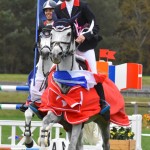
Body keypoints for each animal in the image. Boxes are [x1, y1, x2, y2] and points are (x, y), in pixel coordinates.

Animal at [37, 21, 110, 150]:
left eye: (68, 33)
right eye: (52, 34)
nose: (55, 54)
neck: (66, 79)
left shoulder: (78, 120)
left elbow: (71, 145)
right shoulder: (58, 114)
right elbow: (45, 122)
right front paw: (44, 139)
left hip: (104, 121)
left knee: (105, 143)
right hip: (69, 125)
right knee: (80, 145)